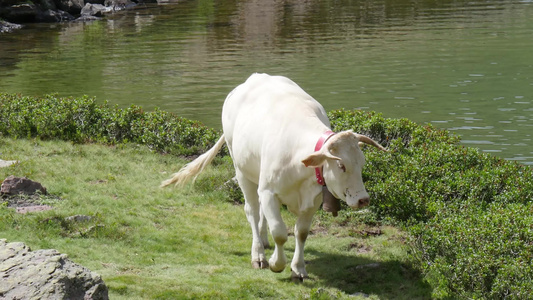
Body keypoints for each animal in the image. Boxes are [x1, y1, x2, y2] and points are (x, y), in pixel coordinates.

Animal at [160, 72, 384, 278]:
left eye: (362, 163)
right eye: (341, 166)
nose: (363, 199)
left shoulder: (313, 199)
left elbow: (301, 233)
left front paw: (298, 268)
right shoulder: (269, 191)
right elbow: (279, 232)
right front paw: (276, 263)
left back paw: (263, 240)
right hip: (241, 170)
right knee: (252, 210)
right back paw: (258, 254)